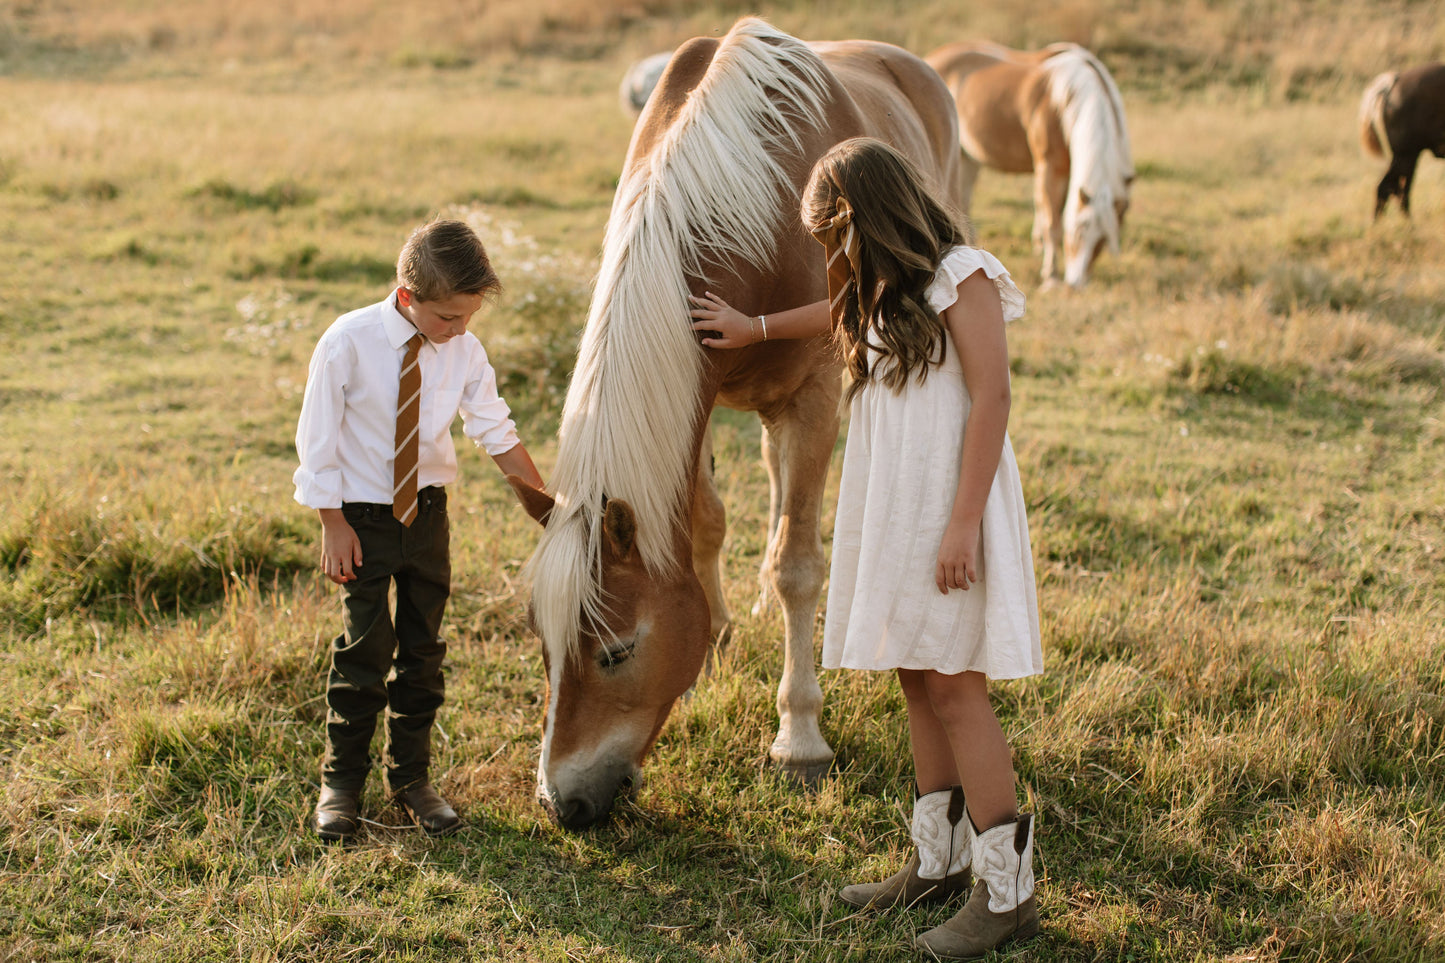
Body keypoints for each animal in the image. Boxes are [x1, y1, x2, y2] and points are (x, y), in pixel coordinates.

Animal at [505, 16, 959, 827]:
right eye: (541, 641)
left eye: (617, 650)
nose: (563, 803)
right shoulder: (703, 394)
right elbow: (707, 523)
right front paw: (715, 634)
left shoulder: (814, 396)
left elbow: (798, 566)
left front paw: (799, 738)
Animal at [924, 41, 1127, 286]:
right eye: (1079, 230)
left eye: (1103, 240)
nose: (1076, 283)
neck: (1063, 104)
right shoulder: (1050, 167)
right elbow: (1052, 222)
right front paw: (1051, 276)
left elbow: (1044, 208)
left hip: (967, 159)